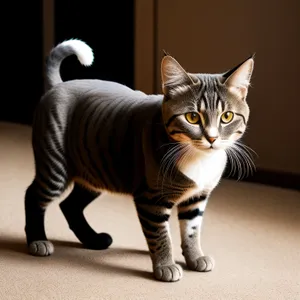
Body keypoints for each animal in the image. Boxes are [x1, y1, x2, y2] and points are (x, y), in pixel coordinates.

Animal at [24, 38, 254, 282]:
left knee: (70, 205)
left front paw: (195, 257)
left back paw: (93, 239)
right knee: (33, 196)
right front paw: (165, 265)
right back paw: (37, 240)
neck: (199, 159)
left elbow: (191, 231)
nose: (211, 138)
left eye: (227, 116)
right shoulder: (150, 199)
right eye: (192, 117)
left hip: (96, 171)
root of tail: (59, 85)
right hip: (55, 167)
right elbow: (161, 236)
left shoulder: (197, 198)